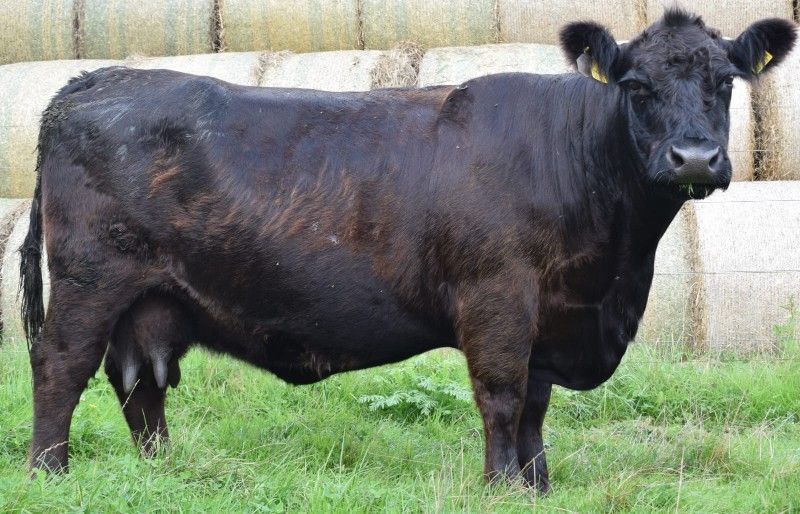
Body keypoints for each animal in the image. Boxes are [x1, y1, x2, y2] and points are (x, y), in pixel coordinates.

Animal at [18, 9, 795, 492]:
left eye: (724, 82)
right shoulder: (498, 299)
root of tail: (95, 79)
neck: (611, 281)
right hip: (90, 281)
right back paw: (48, 473)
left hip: (153, 299)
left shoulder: (548, 316)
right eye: (636, 86)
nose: (694, 158)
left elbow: (537, 407)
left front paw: (538, 486)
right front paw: (501, 487)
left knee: (139, 384)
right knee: (61, 369)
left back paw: (163, 474)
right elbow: (504, 399)